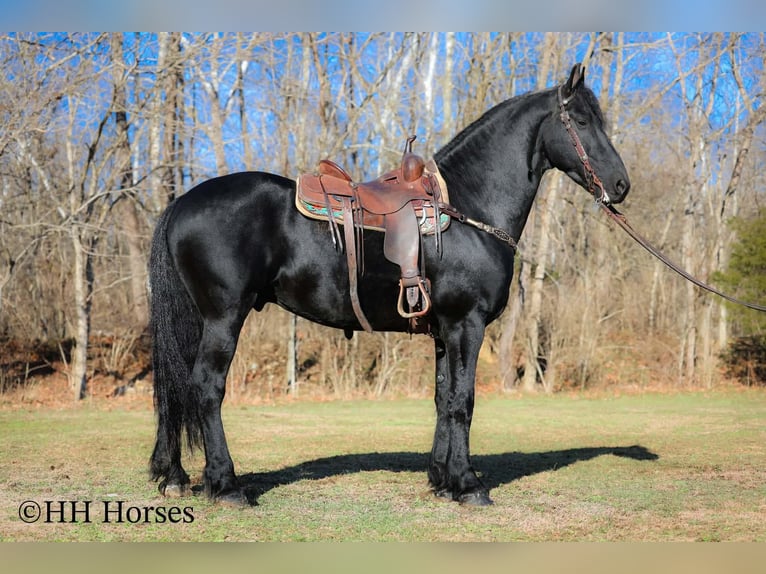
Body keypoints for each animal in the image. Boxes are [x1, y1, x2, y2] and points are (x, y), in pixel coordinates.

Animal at [148, 63, 630, 507]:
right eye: (581, 122)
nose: (622, 185)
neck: (467, 208)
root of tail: (181, 203)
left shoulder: (444, 330)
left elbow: (443, 398)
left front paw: (442, 480)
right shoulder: (467, 324)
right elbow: (464, 400)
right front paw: (469, 485)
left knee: (177, 388)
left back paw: (175, 476)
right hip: (224, 317)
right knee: (207, 387)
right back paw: (226, 485)